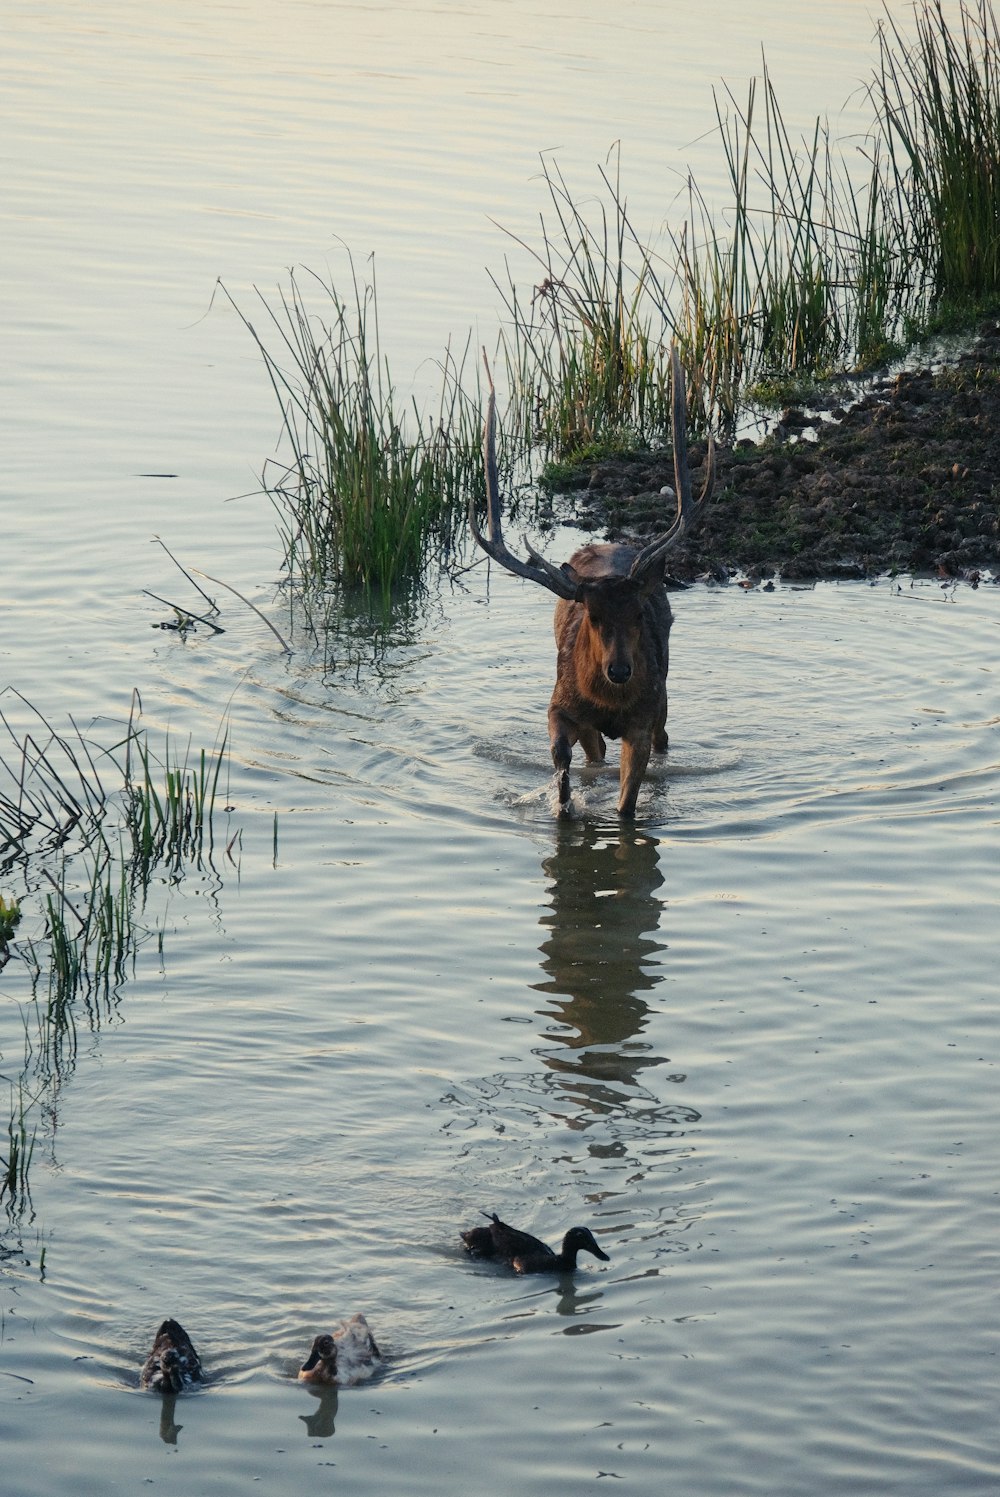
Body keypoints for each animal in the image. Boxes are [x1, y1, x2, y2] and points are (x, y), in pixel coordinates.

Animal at [473, 345, 715, 820]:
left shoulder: (642, 718)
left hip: (664, 697)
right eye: (593, 616)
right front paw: (563, 804)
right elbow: (562, 759)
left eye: (639, 613)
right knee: (595, 754)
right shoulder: (560, 705)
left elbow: (627, 804)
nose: (620, 670)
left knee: (663, 739)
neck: (607, 702)